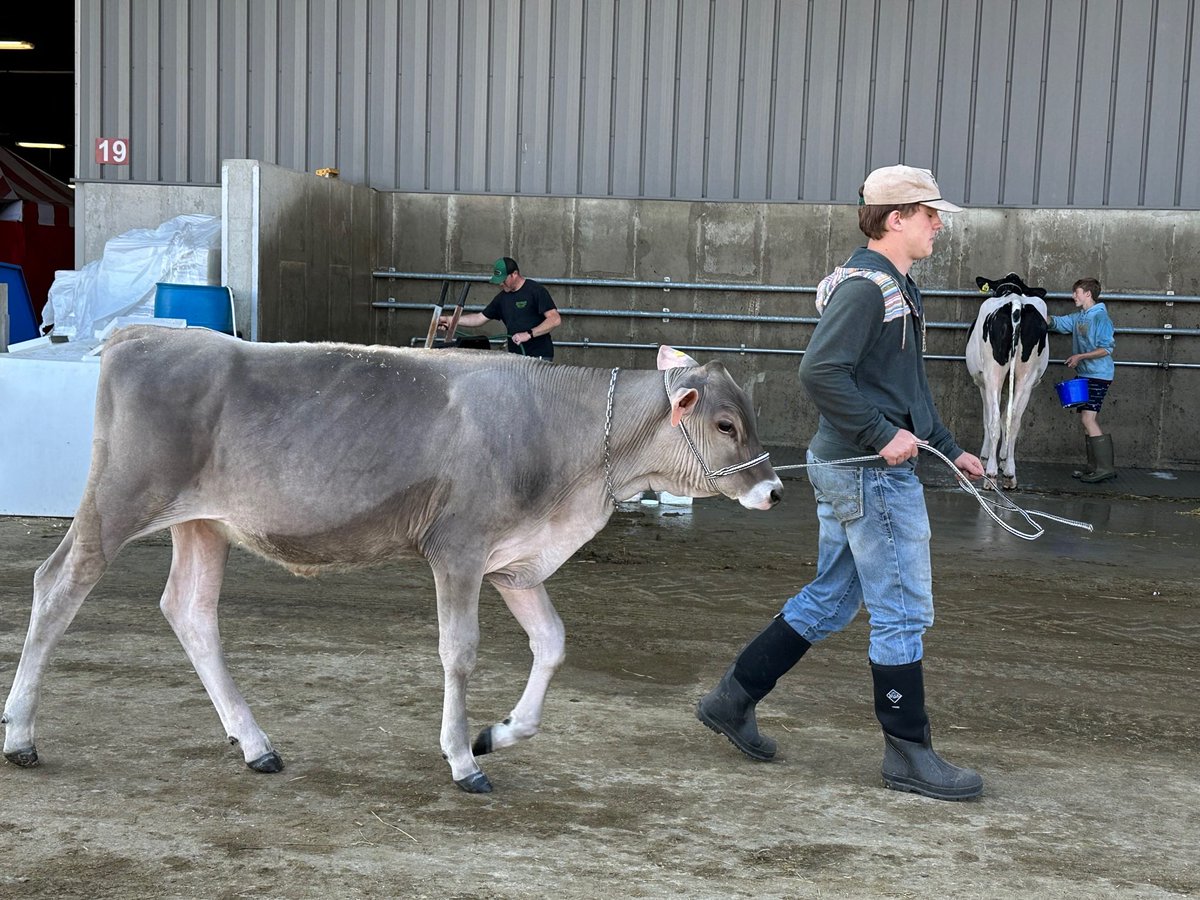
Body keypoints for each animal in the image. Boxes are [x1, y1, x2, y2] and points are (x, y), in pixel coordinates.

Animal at [1, 326, 781, 794]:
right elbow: (460, 652)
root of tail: (143, 331)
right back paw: (21, 736)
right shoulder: (459, 548)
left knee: (189, 611)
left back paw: (255, 743)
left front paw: (499, 734)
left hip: (203, 523)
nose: (774, 488)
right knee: (57, 585)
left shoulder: (514, 561)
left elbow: (554, 643)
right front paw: (463, 760)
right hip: (118, 499)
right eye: (725, 423)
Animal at [965, 273, 1050, 489]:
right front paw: (1002, 458)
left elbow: (988, 418)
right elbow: (1006, 418)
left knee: (994, 419)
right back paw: (1010, 473)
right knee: (1015, 420)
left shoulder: (982, 382)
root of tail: (1015, 302)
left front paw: (986, 456)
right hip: (1026, 378)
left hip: (993, 373)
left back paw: (991, 473)